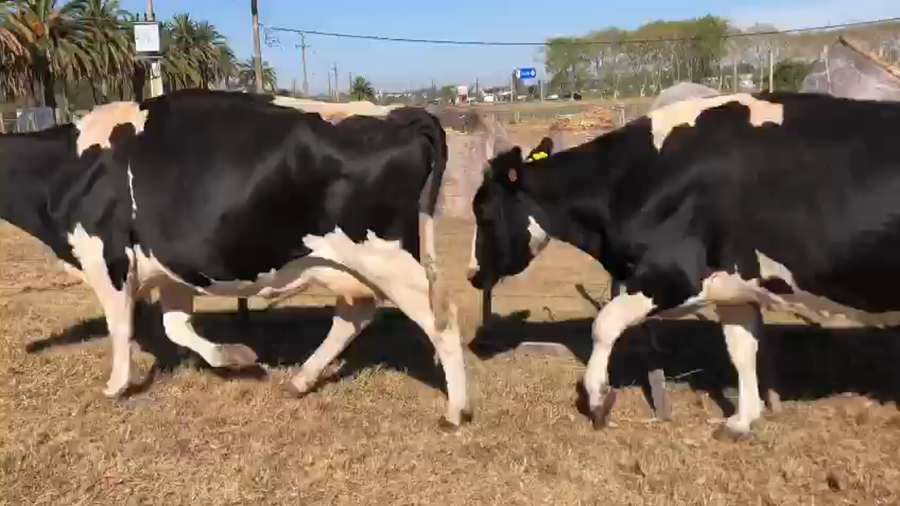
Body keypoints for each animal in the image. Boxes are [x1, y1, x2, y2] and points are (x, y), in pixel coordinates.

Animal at [0, 89, 471, 429]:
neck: (68, 166)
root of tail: (396, 114)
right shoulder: (173, 266)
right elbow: (175, 326)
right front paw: (237, 357)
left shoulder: (106, 257)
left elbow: (122, 326)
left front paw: (116, 386)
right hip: (349, 264)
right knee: (355, 314)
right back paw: (300, 380)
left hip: (388, 258)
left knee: (441, 321)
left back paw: (457, 411)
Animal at [466, 91, 900, 439]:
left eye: (482, 211)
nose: (472, 276)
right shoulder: (733, 285)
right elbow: (741, 348)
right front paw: (742, 420)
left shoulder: (672, 275)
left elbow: (603, 324)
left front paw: (598, 397)